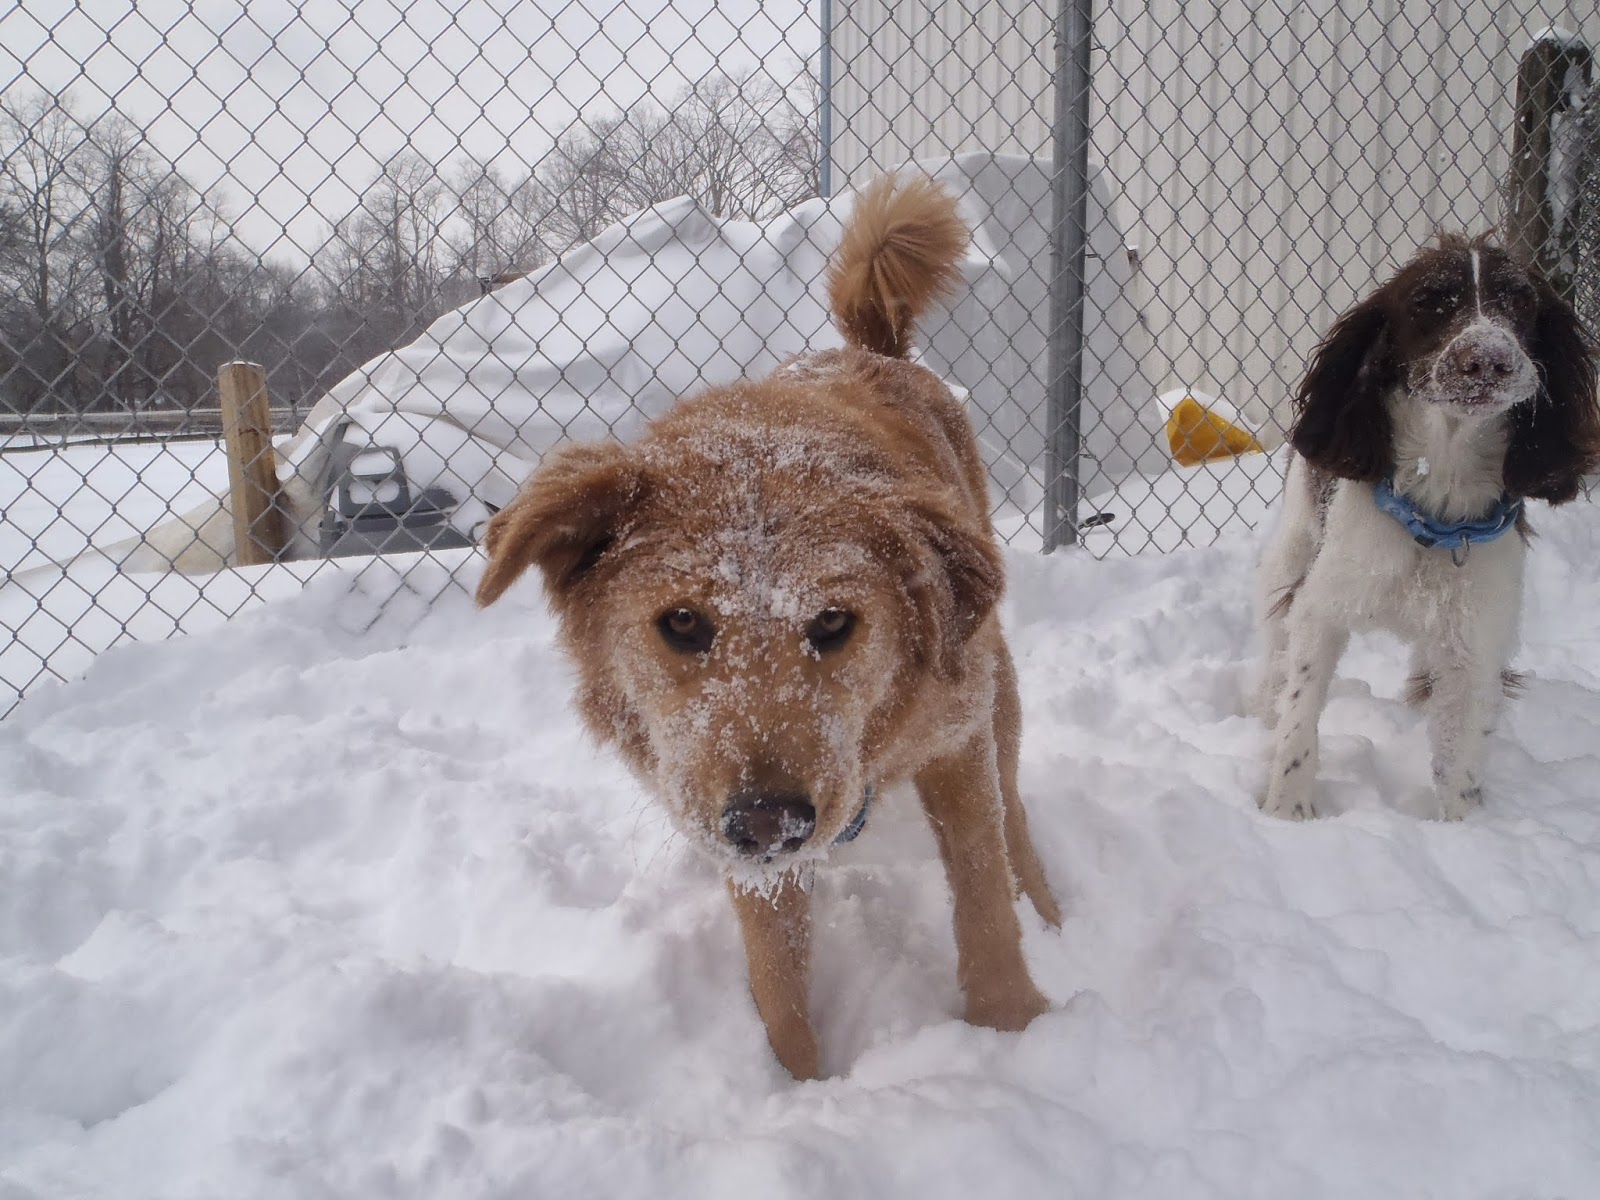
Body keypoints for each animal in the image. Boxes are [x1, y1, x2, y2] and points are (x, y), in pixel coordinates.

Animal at [1254, 235, 1593, 825]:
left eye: (1521, 302)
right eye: (1428, 301)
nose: (1488, 360)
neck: (1436, 515)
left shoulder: (1473, 639)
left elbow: (1459, 763)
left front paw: (1460, 831)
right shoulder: (1321, 607)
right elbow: (1300, 720)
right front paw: (1285, 813)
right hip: (1292, 548)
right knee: (1275, 647)